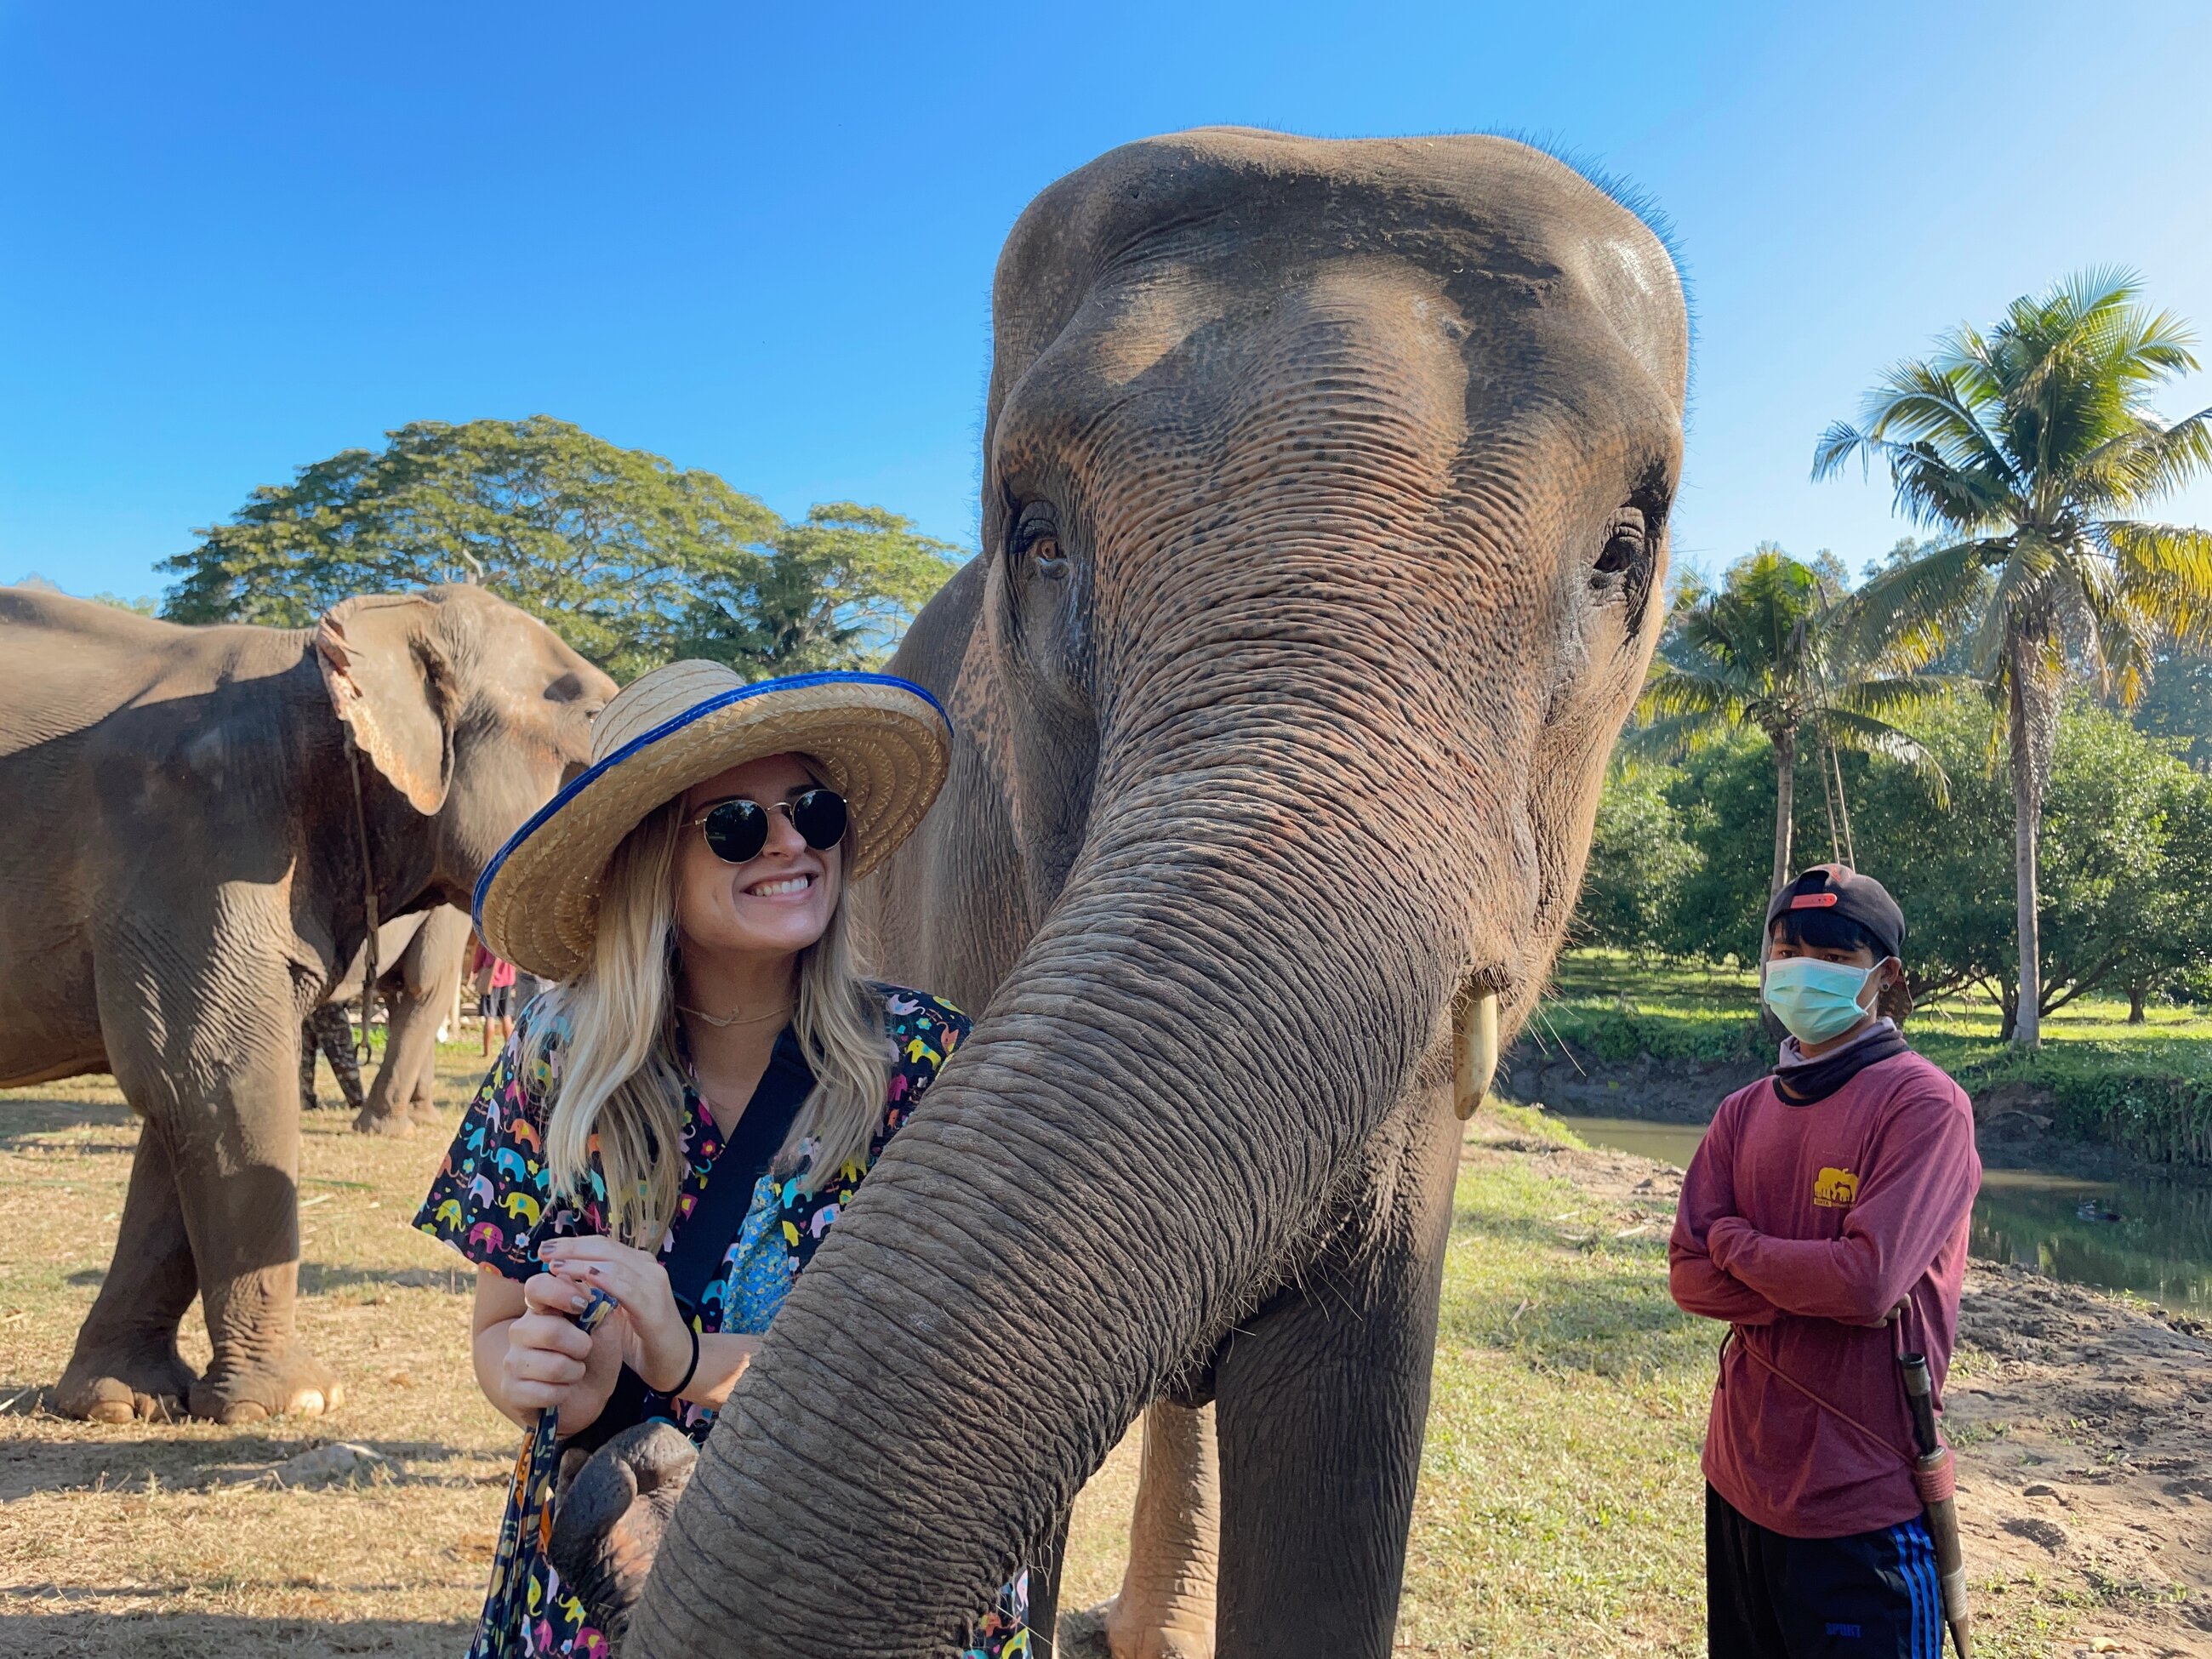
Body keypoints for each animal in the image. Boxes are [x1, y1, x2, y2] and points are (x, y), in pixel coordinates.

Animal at [0, 588, 614, 1433]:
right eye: (594, 715)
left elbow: (186, 1105)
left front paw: (121, 1400)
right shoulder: (198, 839)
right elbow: (210, 1076)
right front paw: (298, 1399)